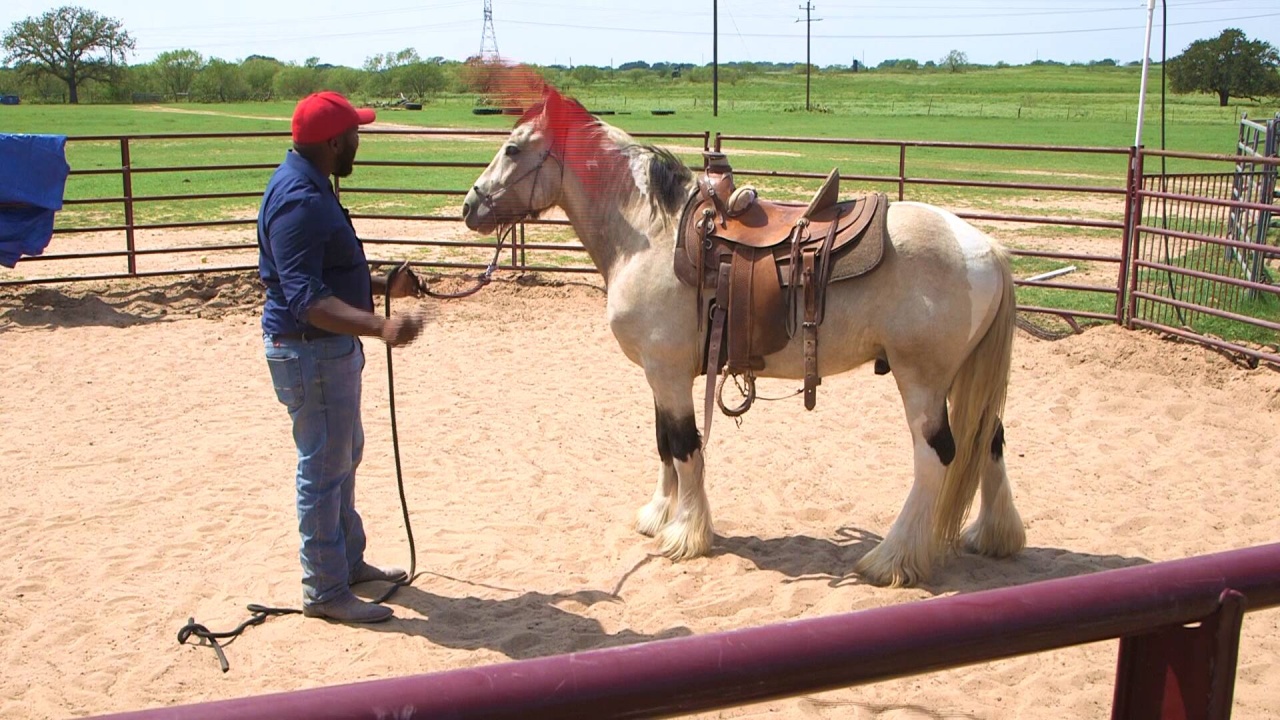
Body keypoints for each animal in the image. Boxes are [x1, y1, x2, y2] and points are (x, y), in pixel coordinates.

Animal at [460, 90, 1025, 587]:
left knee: (937, 456)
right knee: (990, 439)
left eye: (513, 149)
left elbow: (685, 446)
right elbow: (663, 442)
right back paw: (994, 536)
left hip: (921, 381)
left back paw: (891, 559)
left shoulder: (667, 371)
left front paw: (686, 535)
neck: (651, 235)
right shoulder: (660, 374)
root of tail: (986, 247)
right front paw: (659, 514)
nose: (470, 206)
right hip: (959, 377)